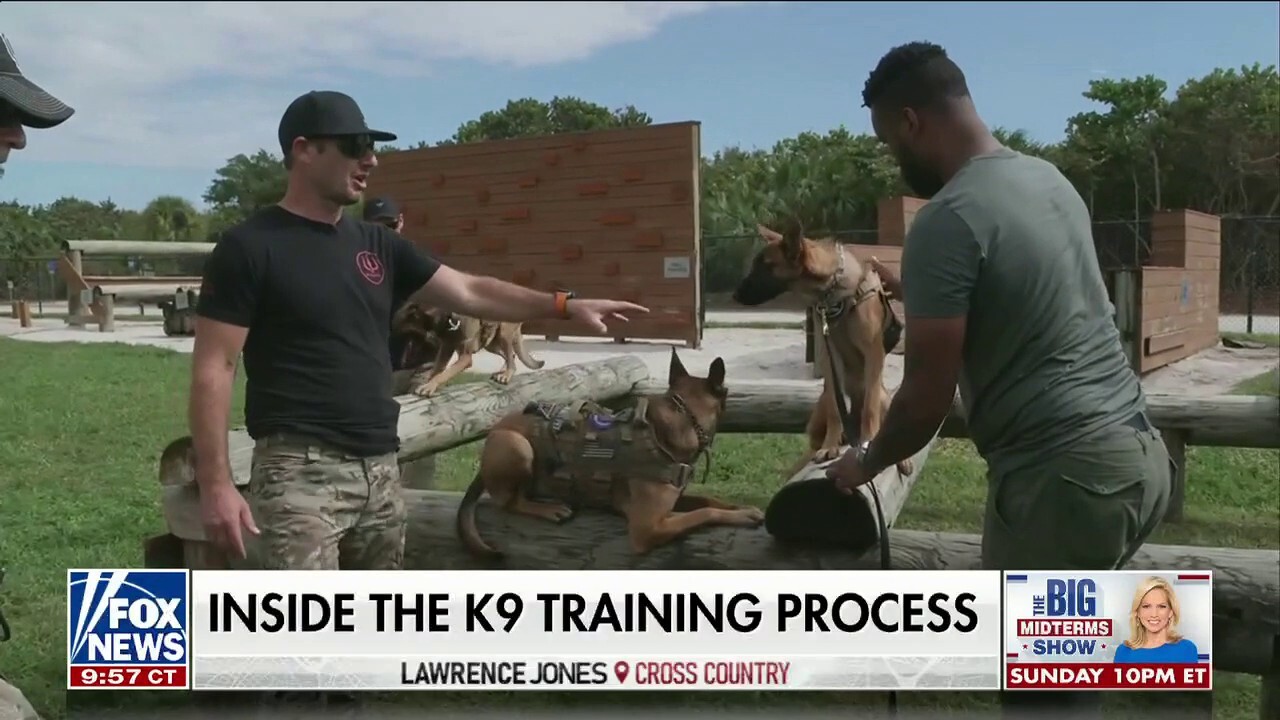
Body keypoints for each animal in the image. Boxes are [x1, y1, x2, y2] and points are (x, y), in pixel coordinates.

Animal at [458, 348, 762, 556]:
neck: (682, 418)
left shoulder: (675, 499)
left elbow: (709, 500)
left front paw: (741, 507)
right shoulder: (648, 527)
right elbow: (703, 513)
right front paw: (743, 516)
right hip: (516, 445)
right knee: (508, 502)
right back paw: (549, 509)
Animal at [732, 222, 911, 481]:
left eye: (766, 266)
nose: (735, 295)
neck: (833, 291)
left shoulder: (873, 353)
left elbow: (870, 410)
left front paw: (868, 440)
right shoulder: (829, 357)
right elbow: (836, 412)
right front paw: (830, 446)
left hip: (885, 399)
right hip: (824, 399)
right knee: (818, 435)